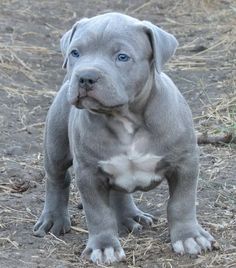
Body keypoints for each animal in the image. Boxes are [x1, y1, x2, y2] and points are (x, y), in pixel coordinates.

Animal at [34, 12, 217, 264]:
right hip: (56, 144)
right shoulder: (89, 173)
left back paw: (130, 217)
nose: (85, 76)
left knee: (118, 192)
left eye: (122, 57)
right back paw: (53, 219)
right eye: (75, 53)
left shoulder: (185, 163)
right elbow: (98, 214)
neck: (125, 118)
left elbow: (182, 203)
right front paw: (104, 247)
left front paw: (190, 237)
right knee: (57, 179)